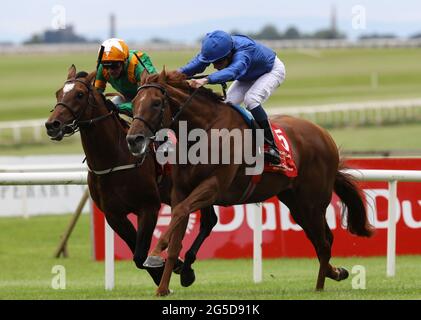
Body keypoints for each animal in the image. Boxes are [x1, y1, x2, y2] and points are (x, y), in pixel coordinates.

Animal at [45, 65, 217, 288]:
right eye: (58, 93)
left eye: (80, 94)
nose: (52, 125)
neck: (114, 158)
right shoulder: (114, 215)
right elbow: (136, 253)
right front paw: (165, 270)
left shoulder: (148, 207)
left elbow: (139, 255)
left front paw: (172, 267)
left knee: (209, 221)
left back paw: (186, 268)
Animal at [126, 69, 372, 296]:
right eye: (134, 102)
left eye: (156, 103)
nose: (133, 139)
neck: (203, 132)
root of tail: (324, 135)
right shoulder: (180, 190)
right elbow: (177, 232)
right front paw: (163, 288)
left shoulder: (214, 186)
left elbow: (179, 212)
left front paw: (154, 255)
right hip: (297, 203)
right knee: (322, 240)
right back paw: (335, 273)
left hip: (313, 202)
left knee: (323, 243)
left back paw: (321, 286)